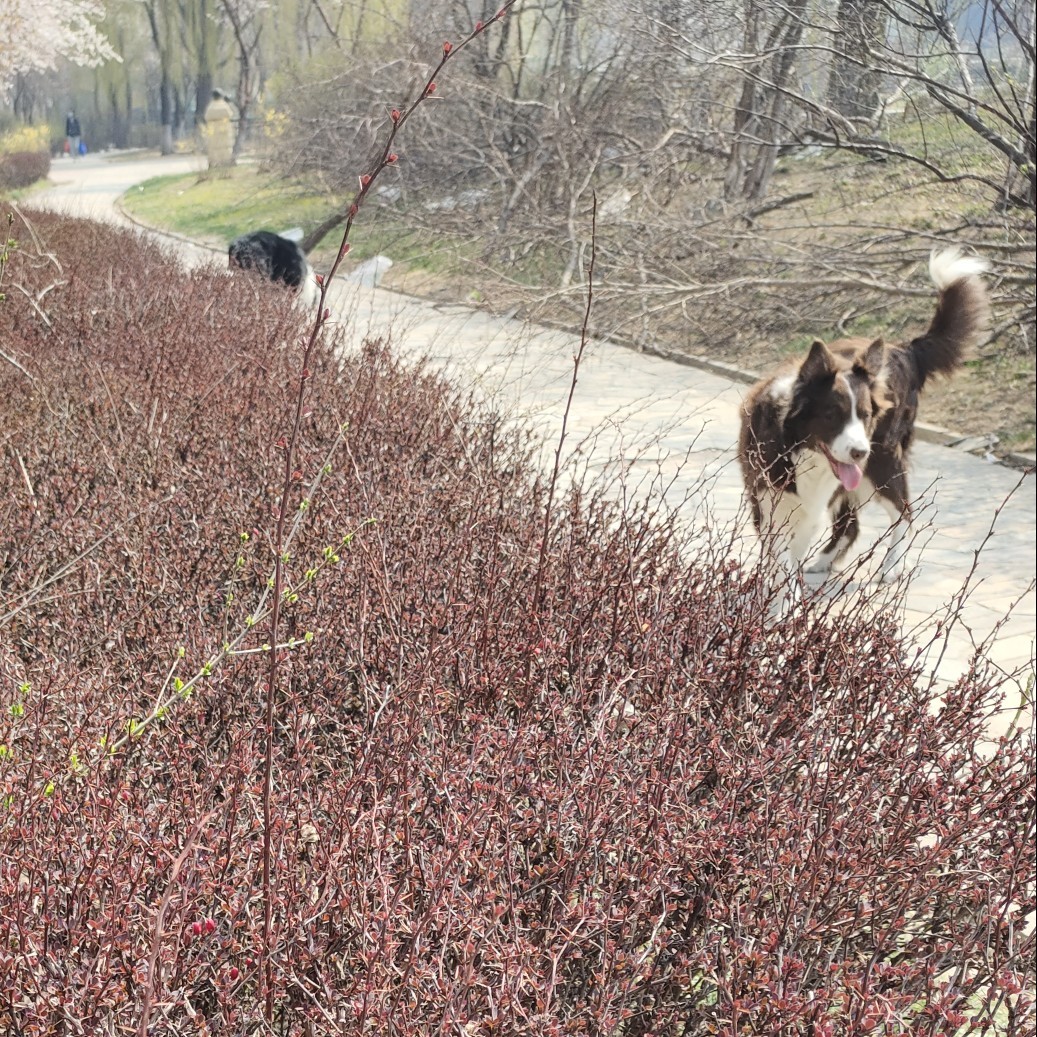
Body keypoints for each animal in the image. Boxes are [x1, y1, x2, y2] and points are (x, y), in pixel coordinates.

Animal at [738, 249, 987, 601]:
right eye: (831, 415)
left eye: (866, 415)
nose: (858, 452)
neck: (795, 446)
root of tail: (903, 349)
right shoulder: (764, 496)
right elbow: (777, 552)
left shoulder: (814, 502)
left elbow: (790, 555)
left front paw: (784, 602)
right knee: (851, 523)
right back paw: (824, 562)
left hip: (881, 462)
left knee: (904, 512)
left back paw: (890, 567)